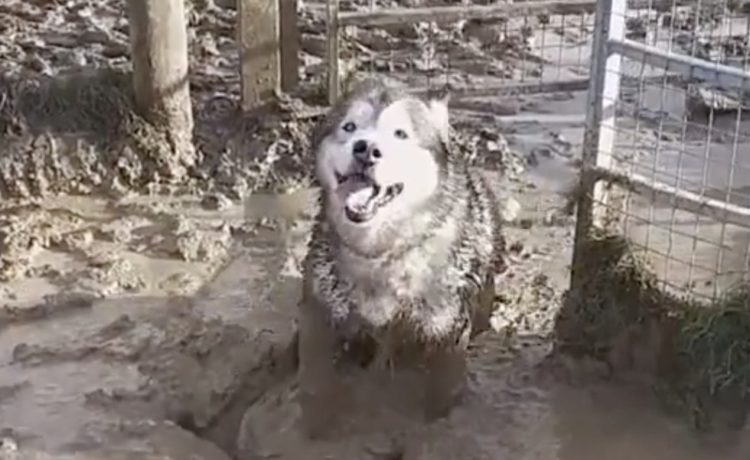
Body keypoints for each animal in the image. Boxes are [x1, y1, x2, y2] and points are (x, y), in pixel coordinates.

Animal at [298, 80, 506, 438]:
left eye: (400, 134)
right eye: (349, 127)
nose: (366, 149)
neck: (381, 252)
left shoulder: (447, 334)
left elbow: (440, 399)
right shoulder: (321, 311)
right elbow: (316, 378)